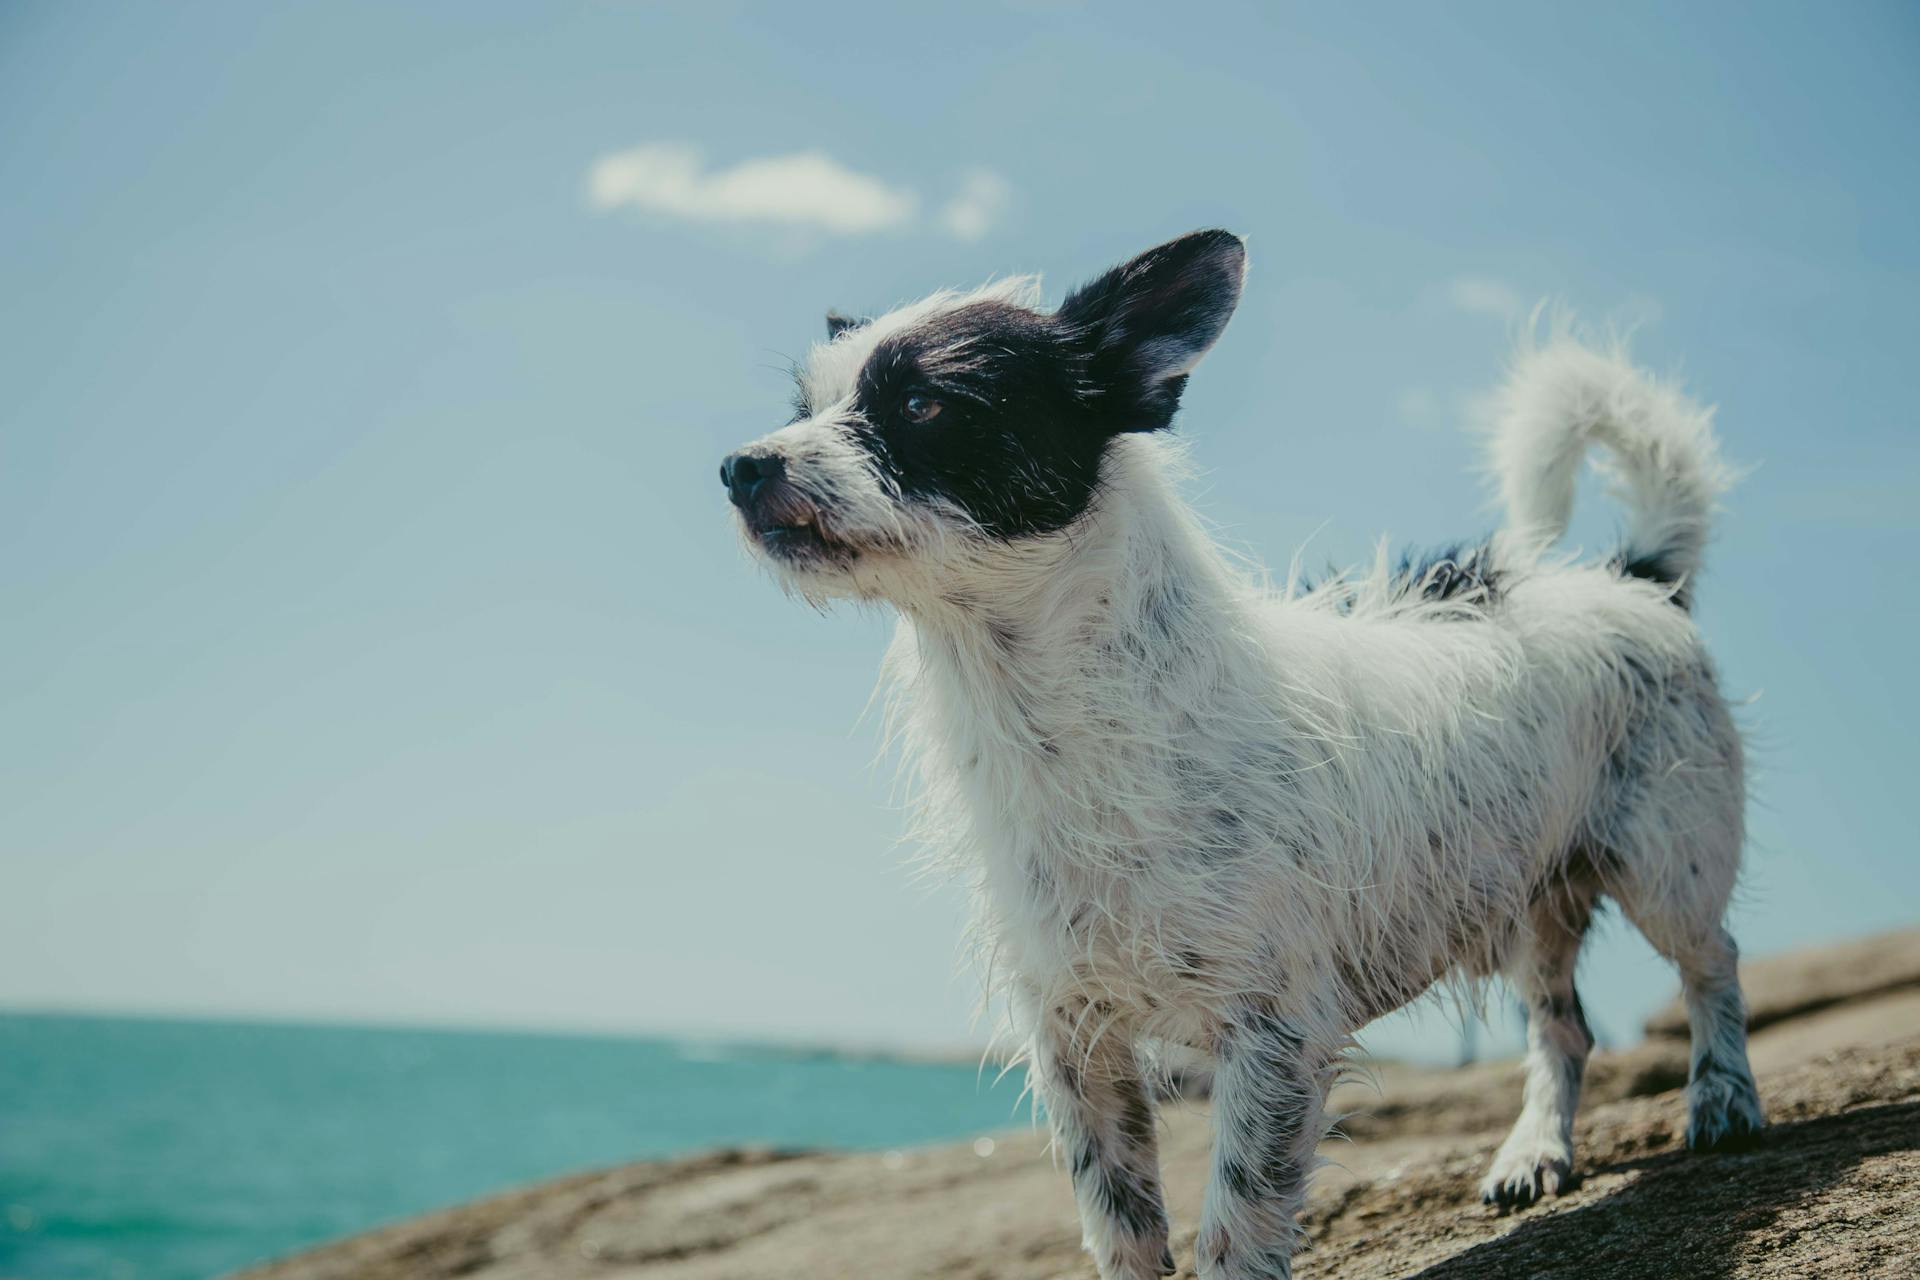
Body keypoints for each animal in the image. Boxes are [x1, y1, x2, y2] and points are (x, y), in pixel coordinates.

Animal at [721, 233, 1766, 1280]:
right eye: (803, 408)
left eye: (924, 405)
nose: (740, 465)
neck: (1054, 714)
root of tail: (1634, 576)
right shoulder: (1074, 1041)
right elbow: (1121, 1223)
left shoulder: (1274, 1037)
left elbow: (1234, 1225)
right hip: (1531, 892)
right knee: (1563, 1021)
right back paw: (1535, 1150)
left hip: (1667, 863)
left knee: (1712, 964)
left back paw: (1723, 1100)